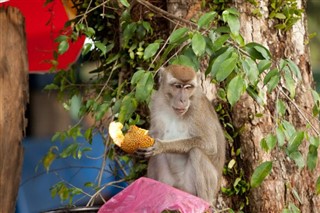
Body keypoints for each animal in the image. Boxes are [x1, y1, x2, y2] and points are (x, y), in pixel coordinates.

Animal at [137, 64, 225, 204]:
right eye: (177, 86)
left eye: (188, 87)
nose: (183, 100)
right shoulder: (156, 101)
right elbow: (155, 132)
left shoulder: (198, 108)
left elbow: (209, 144)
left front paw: (161, 146)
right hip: (170, 183)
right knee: (156, 158)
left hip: (204, 186)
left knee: (196, 152)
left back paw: (203, 203)